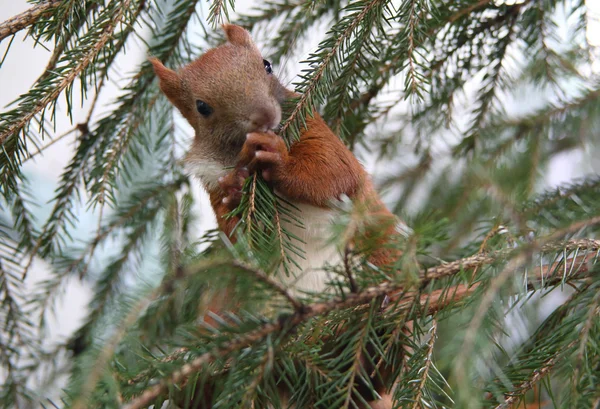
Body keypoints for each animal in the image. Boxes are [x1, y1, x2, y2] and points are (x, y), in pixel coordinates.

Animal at [151, 24, 404, 408]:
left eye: (267, 65)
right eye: (202, 107)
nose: (264, 118)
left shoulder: (314, 127)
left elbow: (334, 171)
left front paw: (279, 162)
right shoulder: (209, 177)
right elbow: (235, 230)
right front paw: (236, 188)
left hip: (377, 248)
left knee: (380, 370)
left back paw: (382, 313)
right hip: (228, 305)